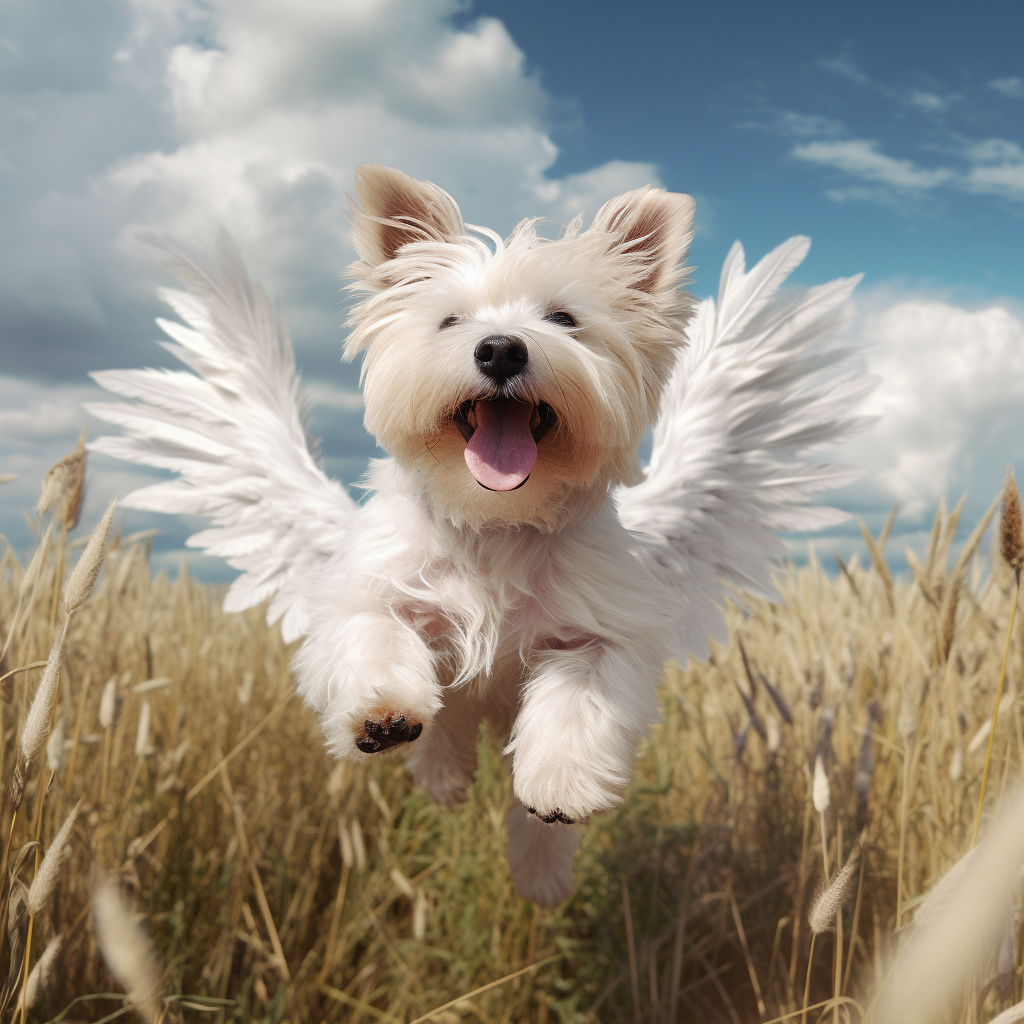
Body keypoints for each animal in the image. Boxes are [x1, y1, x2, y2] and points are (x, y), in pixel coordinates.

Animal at [90, 163, 872, 909]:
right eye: (449, 321)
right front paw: (382, 714)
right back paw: (441, 773)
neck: (497, 524)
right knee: (448, 718)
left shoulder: (601, 635)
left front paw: (559, 790)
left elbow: (573, 713)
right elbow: (381, 638)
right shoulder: (367, 595)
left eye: (564, 318)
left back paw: (542, 874)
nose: (500, 349)